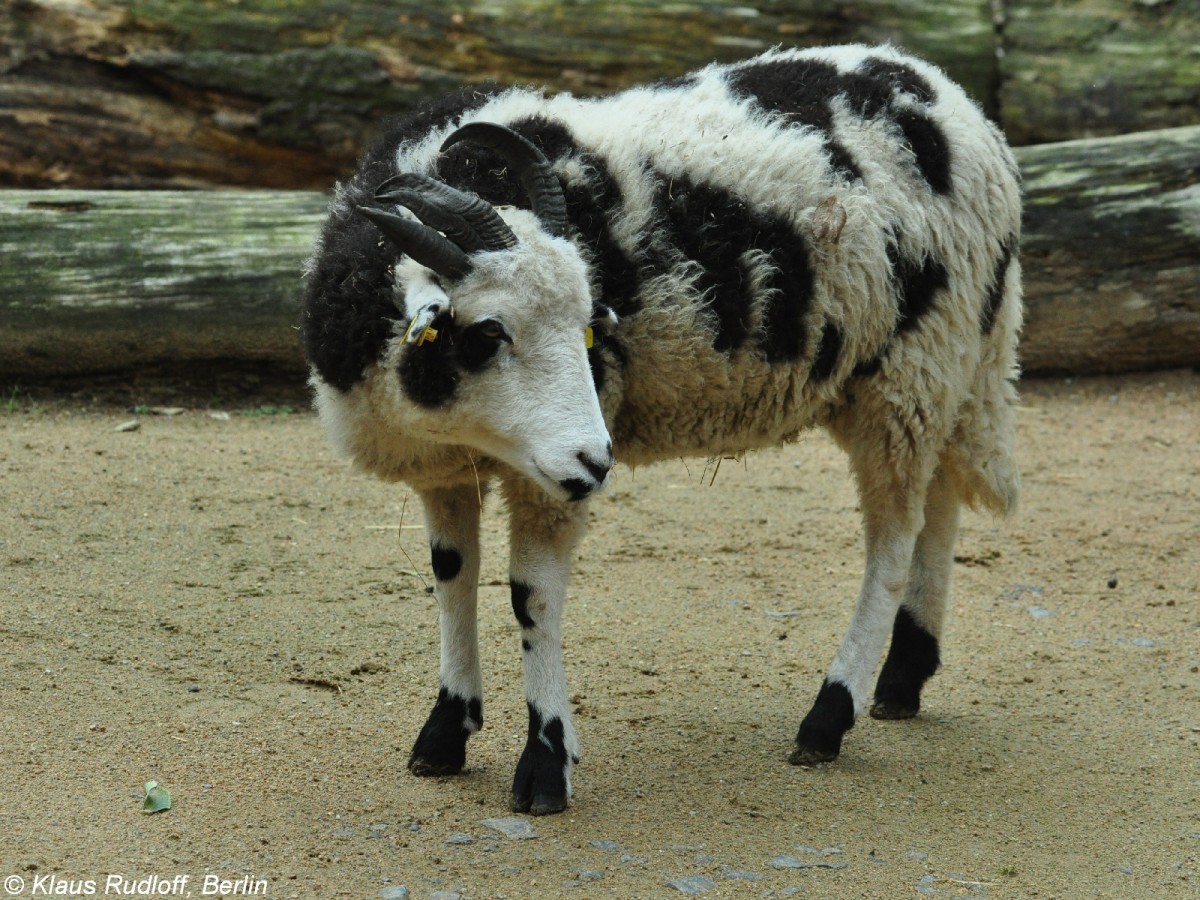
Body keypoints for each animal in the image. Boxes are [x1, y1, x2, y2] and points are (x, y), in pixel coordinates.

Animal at [300, 44, 1022, 816]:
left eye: (590, 326)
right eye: (488, 332)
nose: (597, 462)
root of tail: (959, 104)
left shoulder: (552, 472)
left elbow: (531, 595)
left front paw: (546, 763)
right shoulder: (446, 465)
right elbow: (451, 578)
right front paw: (444, 732)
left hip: (912, 365)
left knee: (893, 541)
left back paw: (830, 716)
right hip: (935, 369)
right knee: (937, 500)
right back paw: (904, 678)